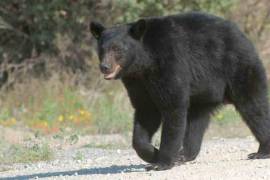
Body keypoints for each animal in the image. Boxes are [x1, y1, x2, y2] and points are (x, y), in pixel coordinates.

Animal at [90, 11, 270, 170]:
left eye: (117, 49)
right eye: (102, 49)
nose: (105, 67)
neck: (144, 64)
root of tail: (242, 34)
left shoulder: (168, 63)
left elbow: (173, 107)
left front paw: (162, 162)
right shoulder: (137, 82)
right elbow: (145, 111)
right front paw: (153, 153)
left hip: (237, 68)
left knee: (253, 106)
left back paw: (261, 151)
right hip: (203, 93)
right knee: (196, 121)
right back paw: (184, 154)